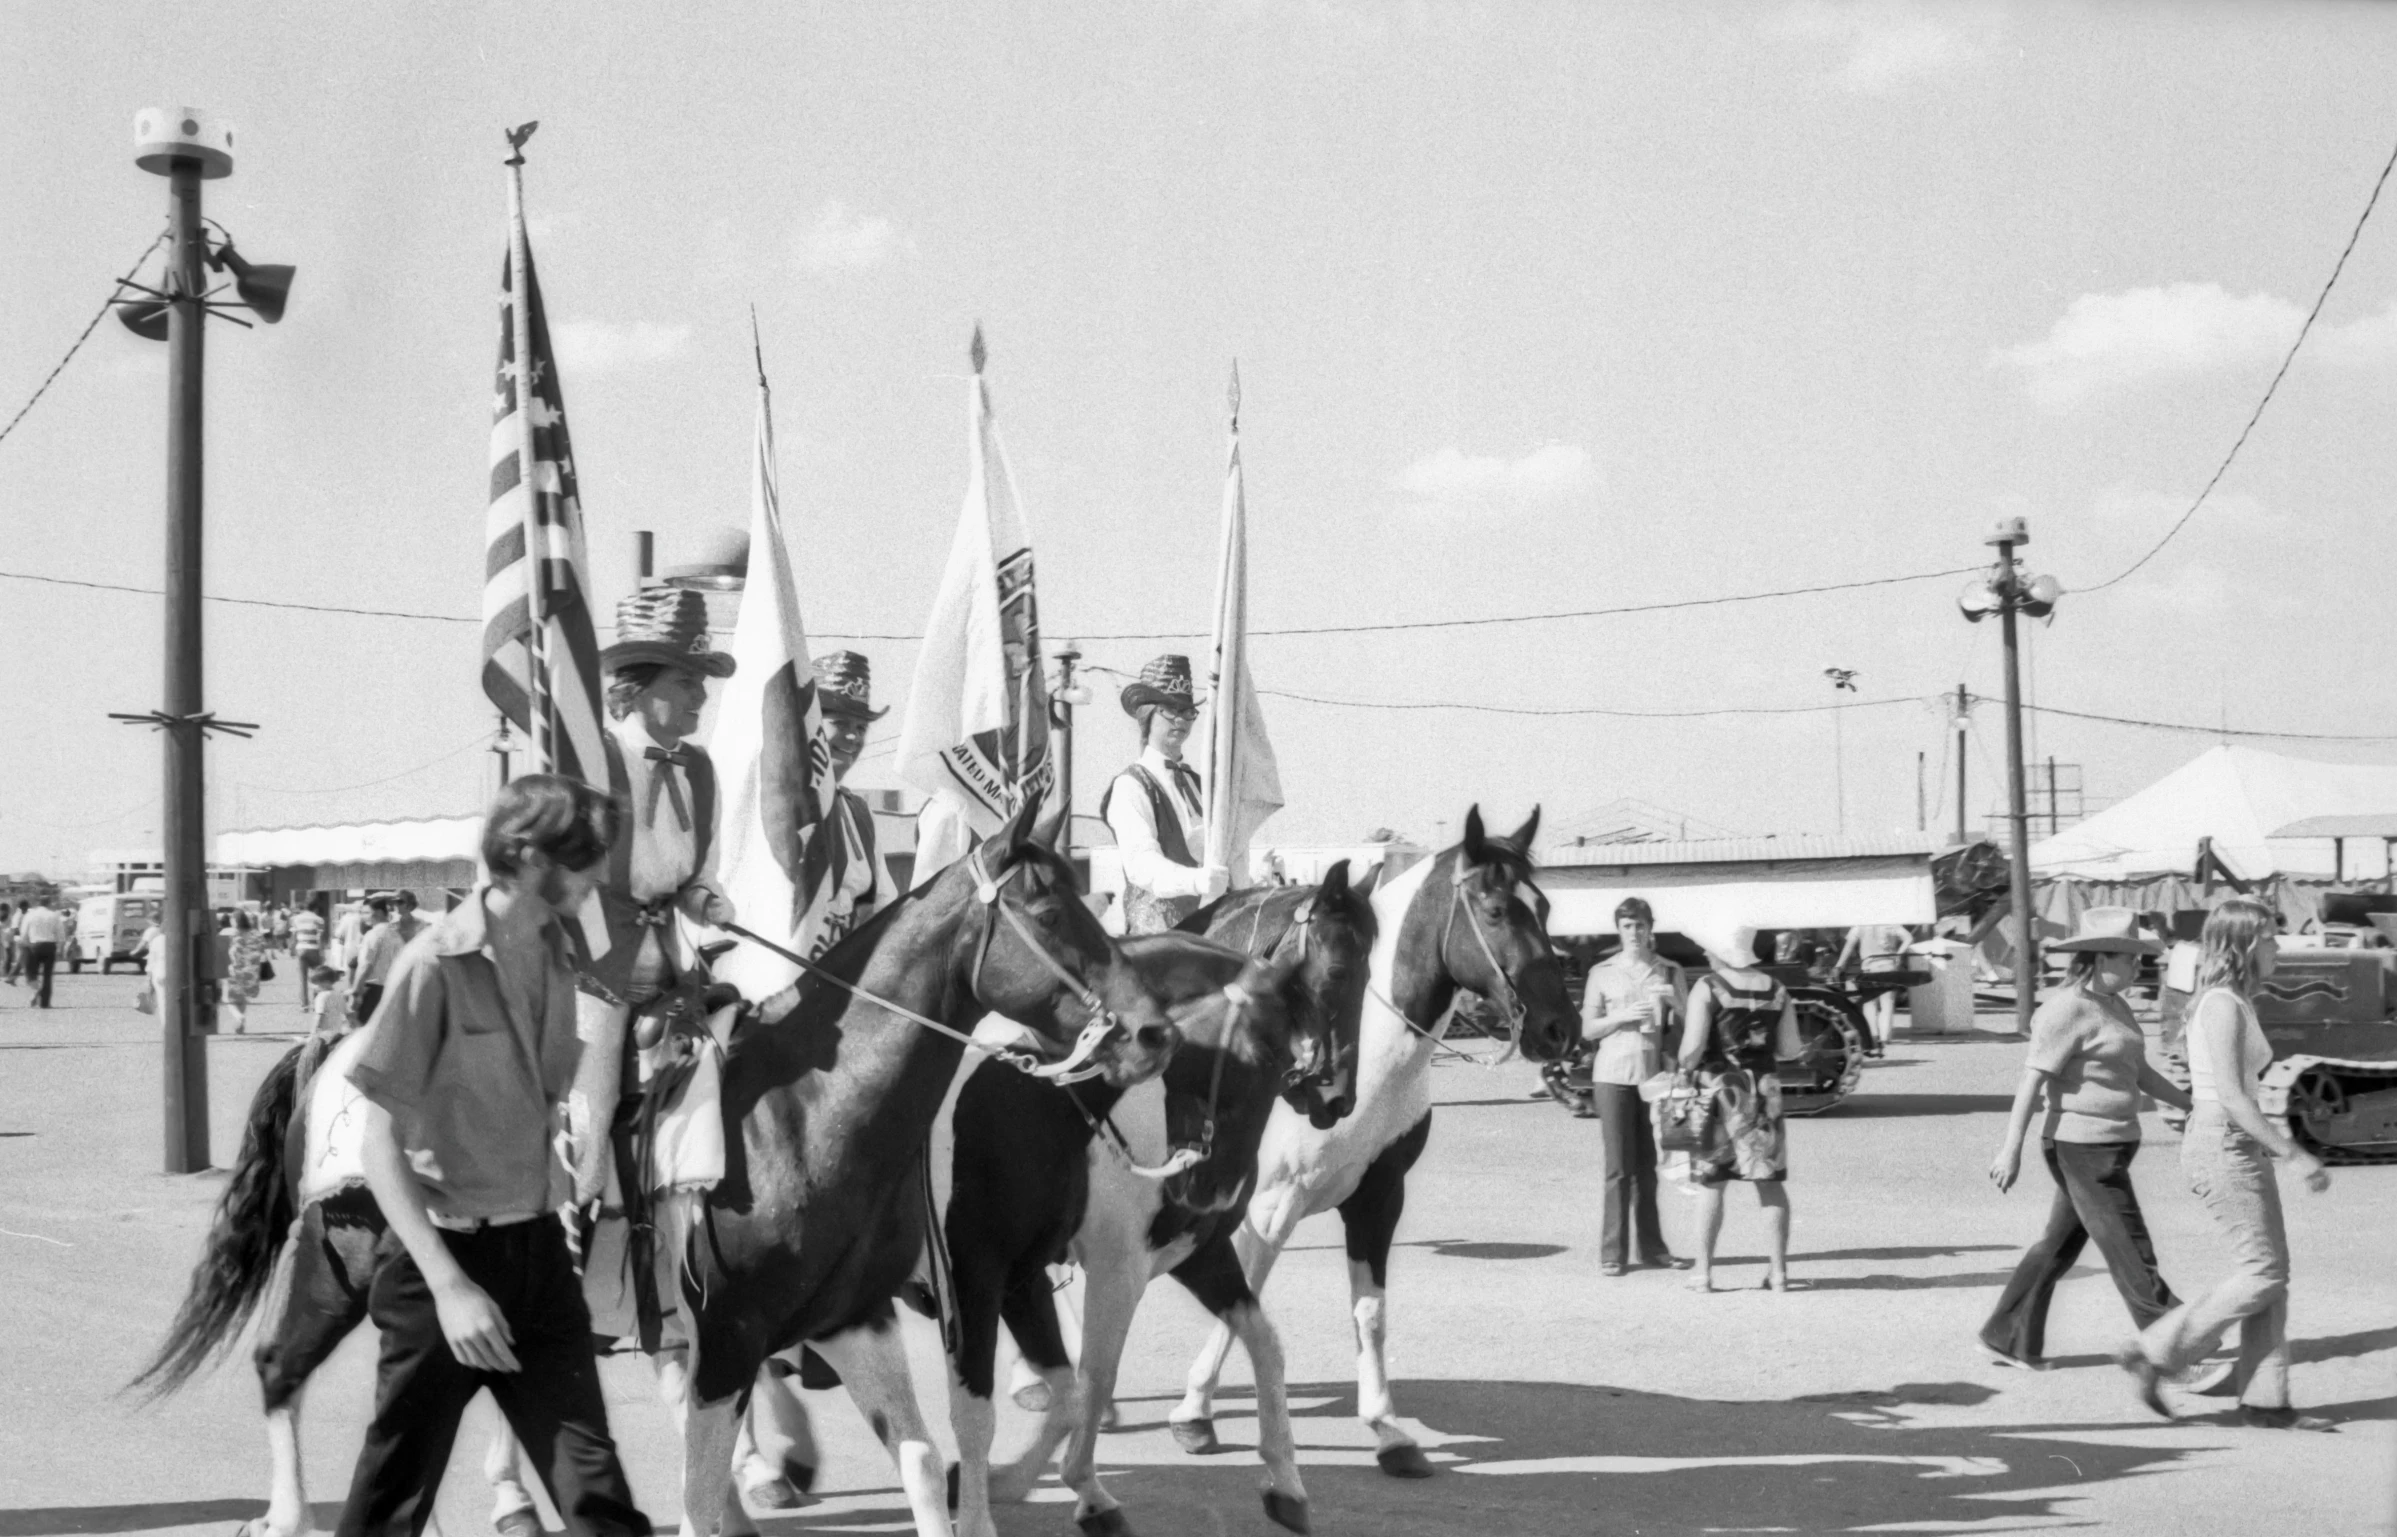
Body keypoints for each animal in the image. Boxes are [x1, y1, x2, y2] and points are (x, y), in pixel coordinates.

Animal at [133, 791, 1179, 1534]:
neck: (802, 1115)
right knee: (279, 1367)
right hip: (338, 1263)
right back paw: (285, 1516)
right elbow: (706, 1498)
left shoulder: (855, 1316)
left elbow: (928, 1460)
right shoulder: (742, 1335)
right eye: (1048, 902)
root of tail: (333, 1051)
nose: (1153, 1033)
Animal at [934, 930, 1313, 1534]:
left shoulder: (1197, 1255)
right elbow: (1096, 1376)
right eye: (1256, 1057)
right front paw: (1078, 1486)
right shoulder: (1114, 1269)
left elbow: (1263, 1342)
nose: (1211, 1187)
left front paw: (1286, 1484)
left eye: (1273, 1057)